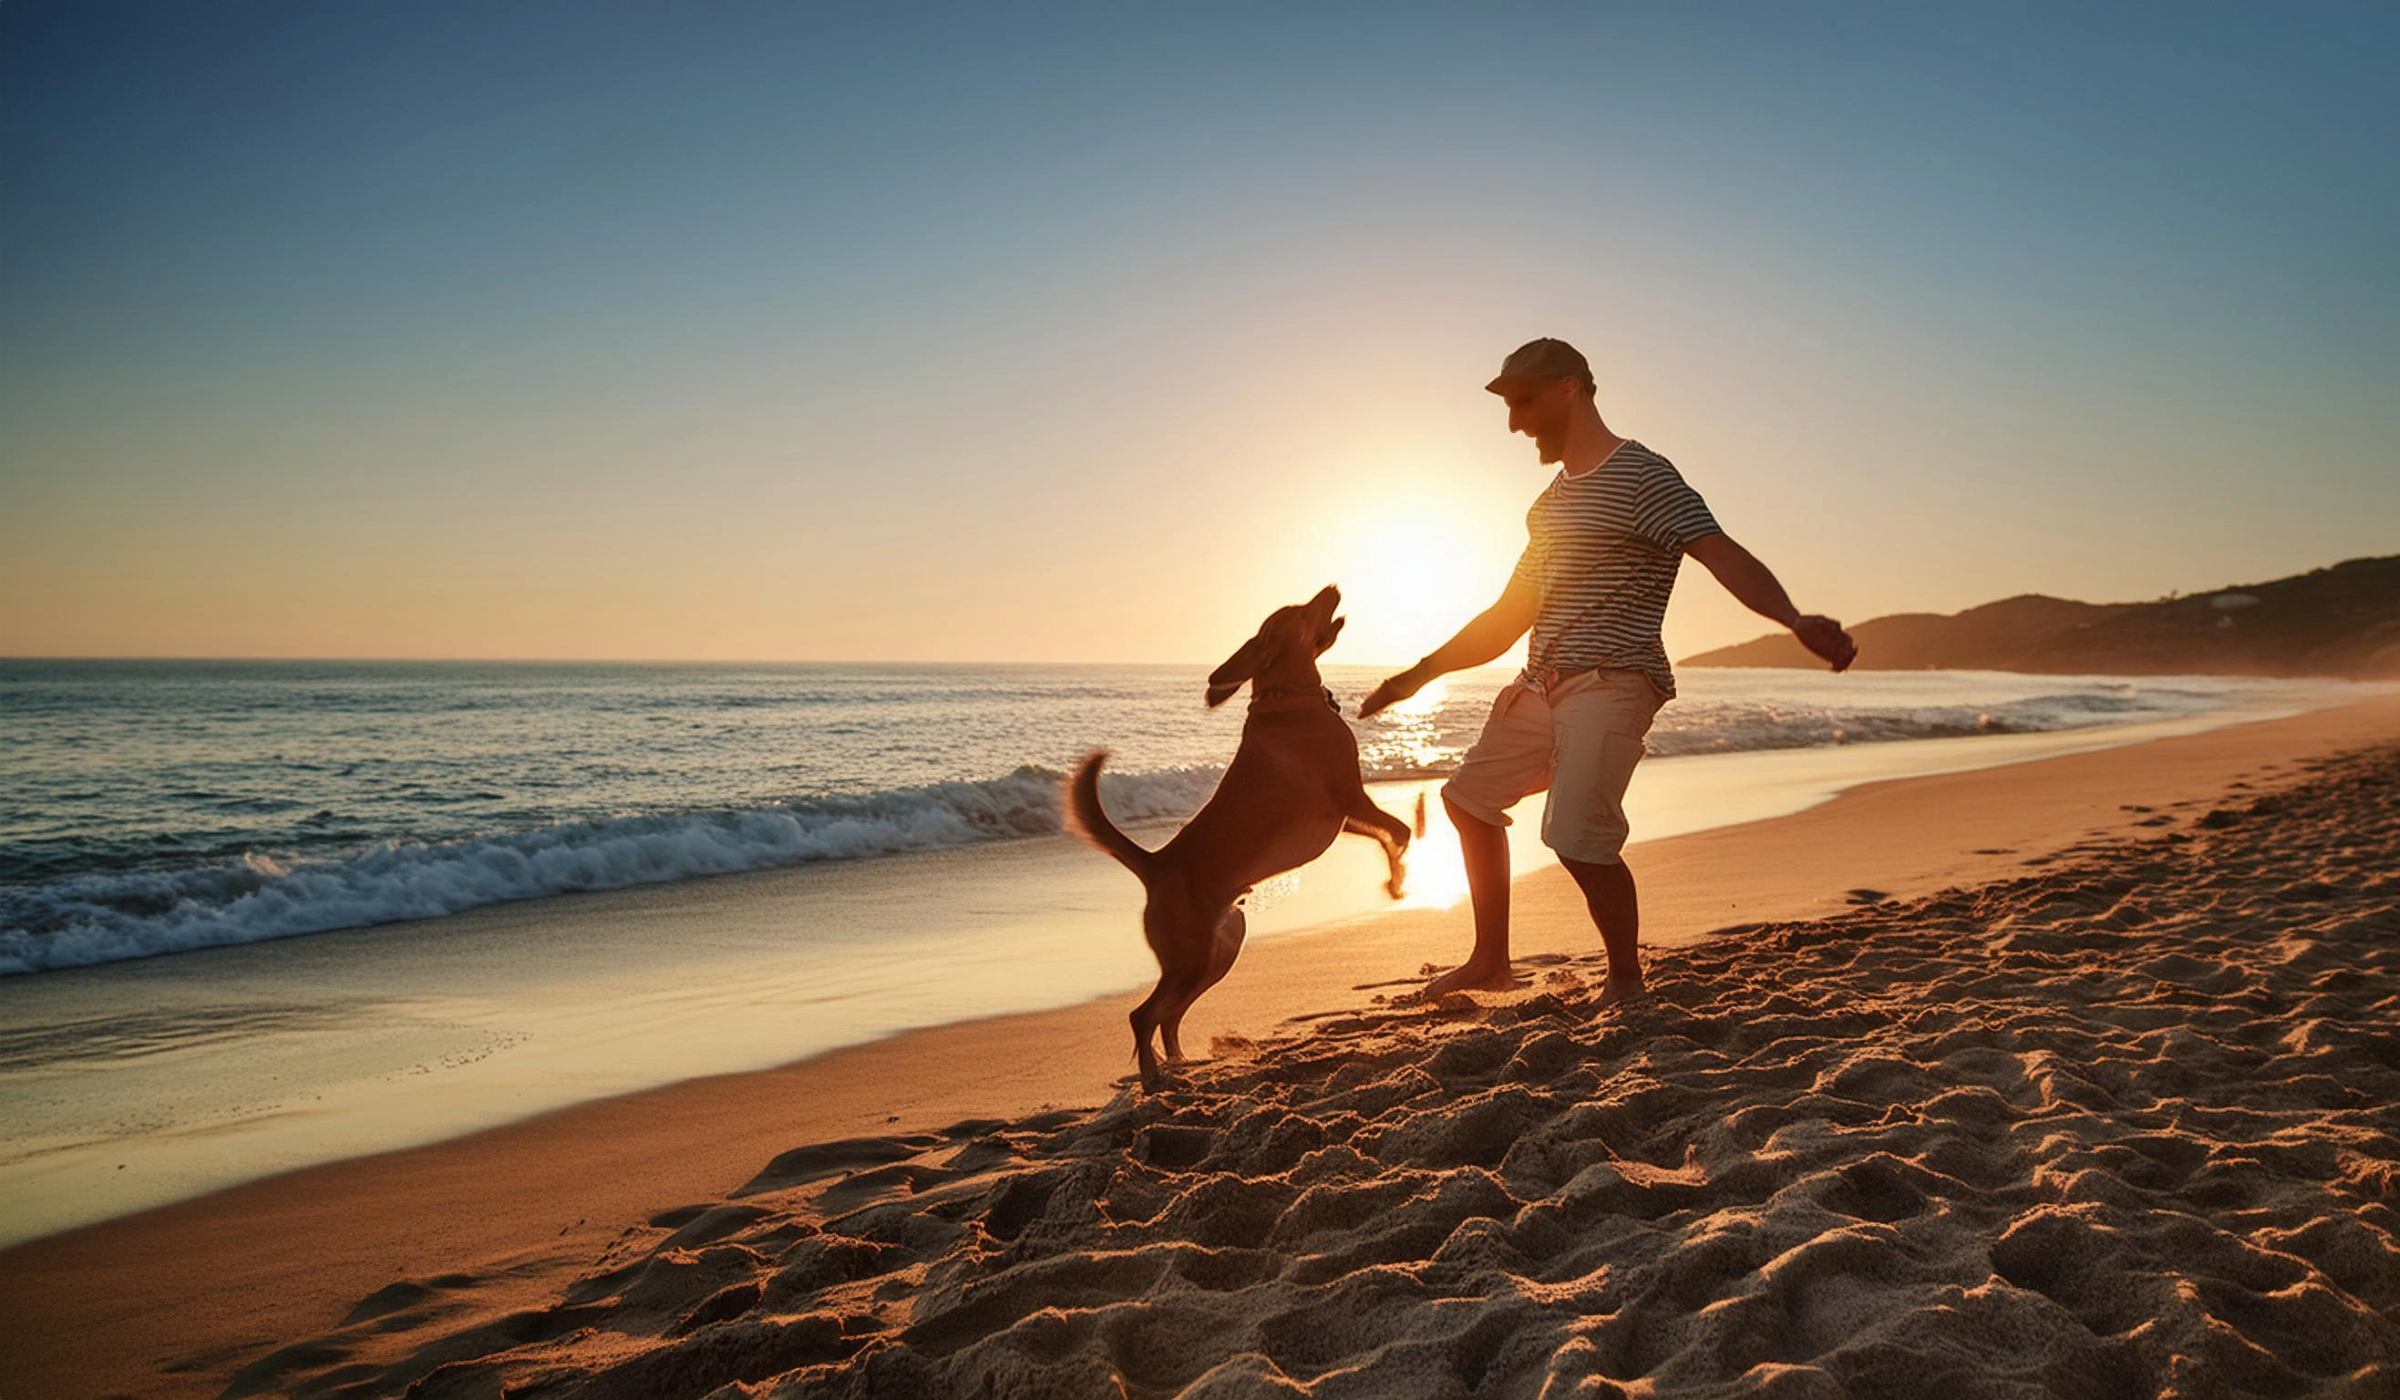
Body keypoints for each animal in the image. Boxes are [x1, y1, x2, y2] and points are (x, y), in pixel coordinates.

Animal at [1065, 585, 1401, 1090]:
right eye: (1299, 611)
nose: (1332, 587)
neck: (1289, 698)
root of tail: (1156, 864)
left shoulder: (1346, 815)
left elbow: (1385, 834)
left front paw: (1394, 875)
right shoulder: (1351, 797)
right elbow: (1399, 830)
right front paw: (1400, 877)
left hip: (1217, 954)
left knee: (1168, 1015)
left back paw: (1180, 1064)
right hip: (1192, 959)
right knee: (1143, 1015)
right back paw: (1155, 1079)